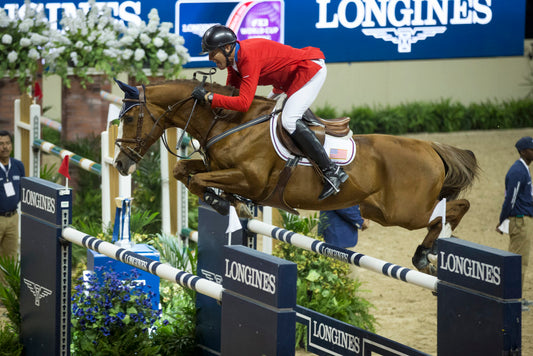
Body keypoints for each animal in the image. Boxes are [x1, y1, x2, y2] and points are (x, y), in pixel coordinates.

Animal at [112, 78, 478, 274]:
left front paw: (226, 204)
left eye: (129, 119)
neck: (229, 121)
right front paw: (234, 205)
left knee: (452, 210)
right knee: (449, 209)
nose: (120, 165)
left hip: (403, 212)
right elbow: (184, 172)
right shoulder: (219, 169)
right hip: (379, 210)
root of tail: (430, 148)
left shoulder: (250, 179)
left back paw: (426, 254)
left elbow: (203, 182)